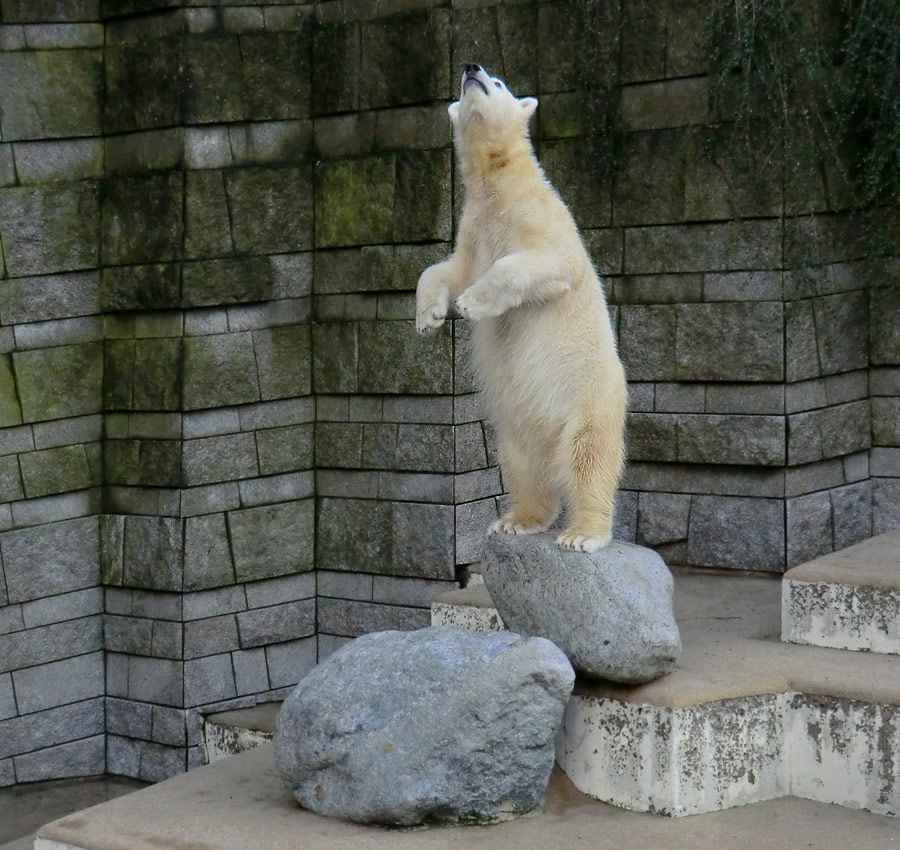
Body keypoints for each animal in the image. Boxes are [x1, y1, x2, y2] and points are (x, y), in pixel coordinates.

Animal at [414, 64, 624, 548]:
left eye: (499, 82)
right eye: (466, 84)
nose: (471, 67)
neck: (499, 185)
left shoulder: (542, 219)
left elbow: (543, 263)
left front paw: (472, 303)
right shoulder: (474, 229)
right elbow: (446, 269)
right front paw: (428, 317)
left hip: (590, 398)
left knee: (588, 457)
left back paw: (583, 533)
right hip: (515, 426)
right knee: (522, 464)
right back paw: (518, 519)